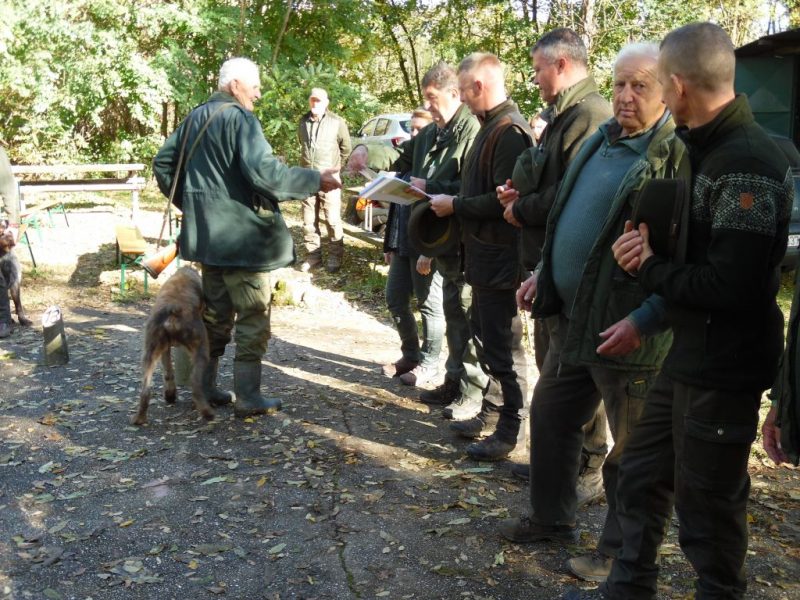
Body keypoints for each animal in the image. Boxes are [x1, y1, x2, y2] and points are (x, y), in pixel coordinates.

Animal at [132, 266, 214, 426]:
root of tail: (173, 309)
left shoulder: (165, 349)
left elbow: (168, 371)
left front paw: (170, 395)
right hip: (201, 349)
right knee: (195, 383)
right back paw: (207, 413)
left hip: (150, 352)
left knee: (146, 390)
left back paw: (141, 418)